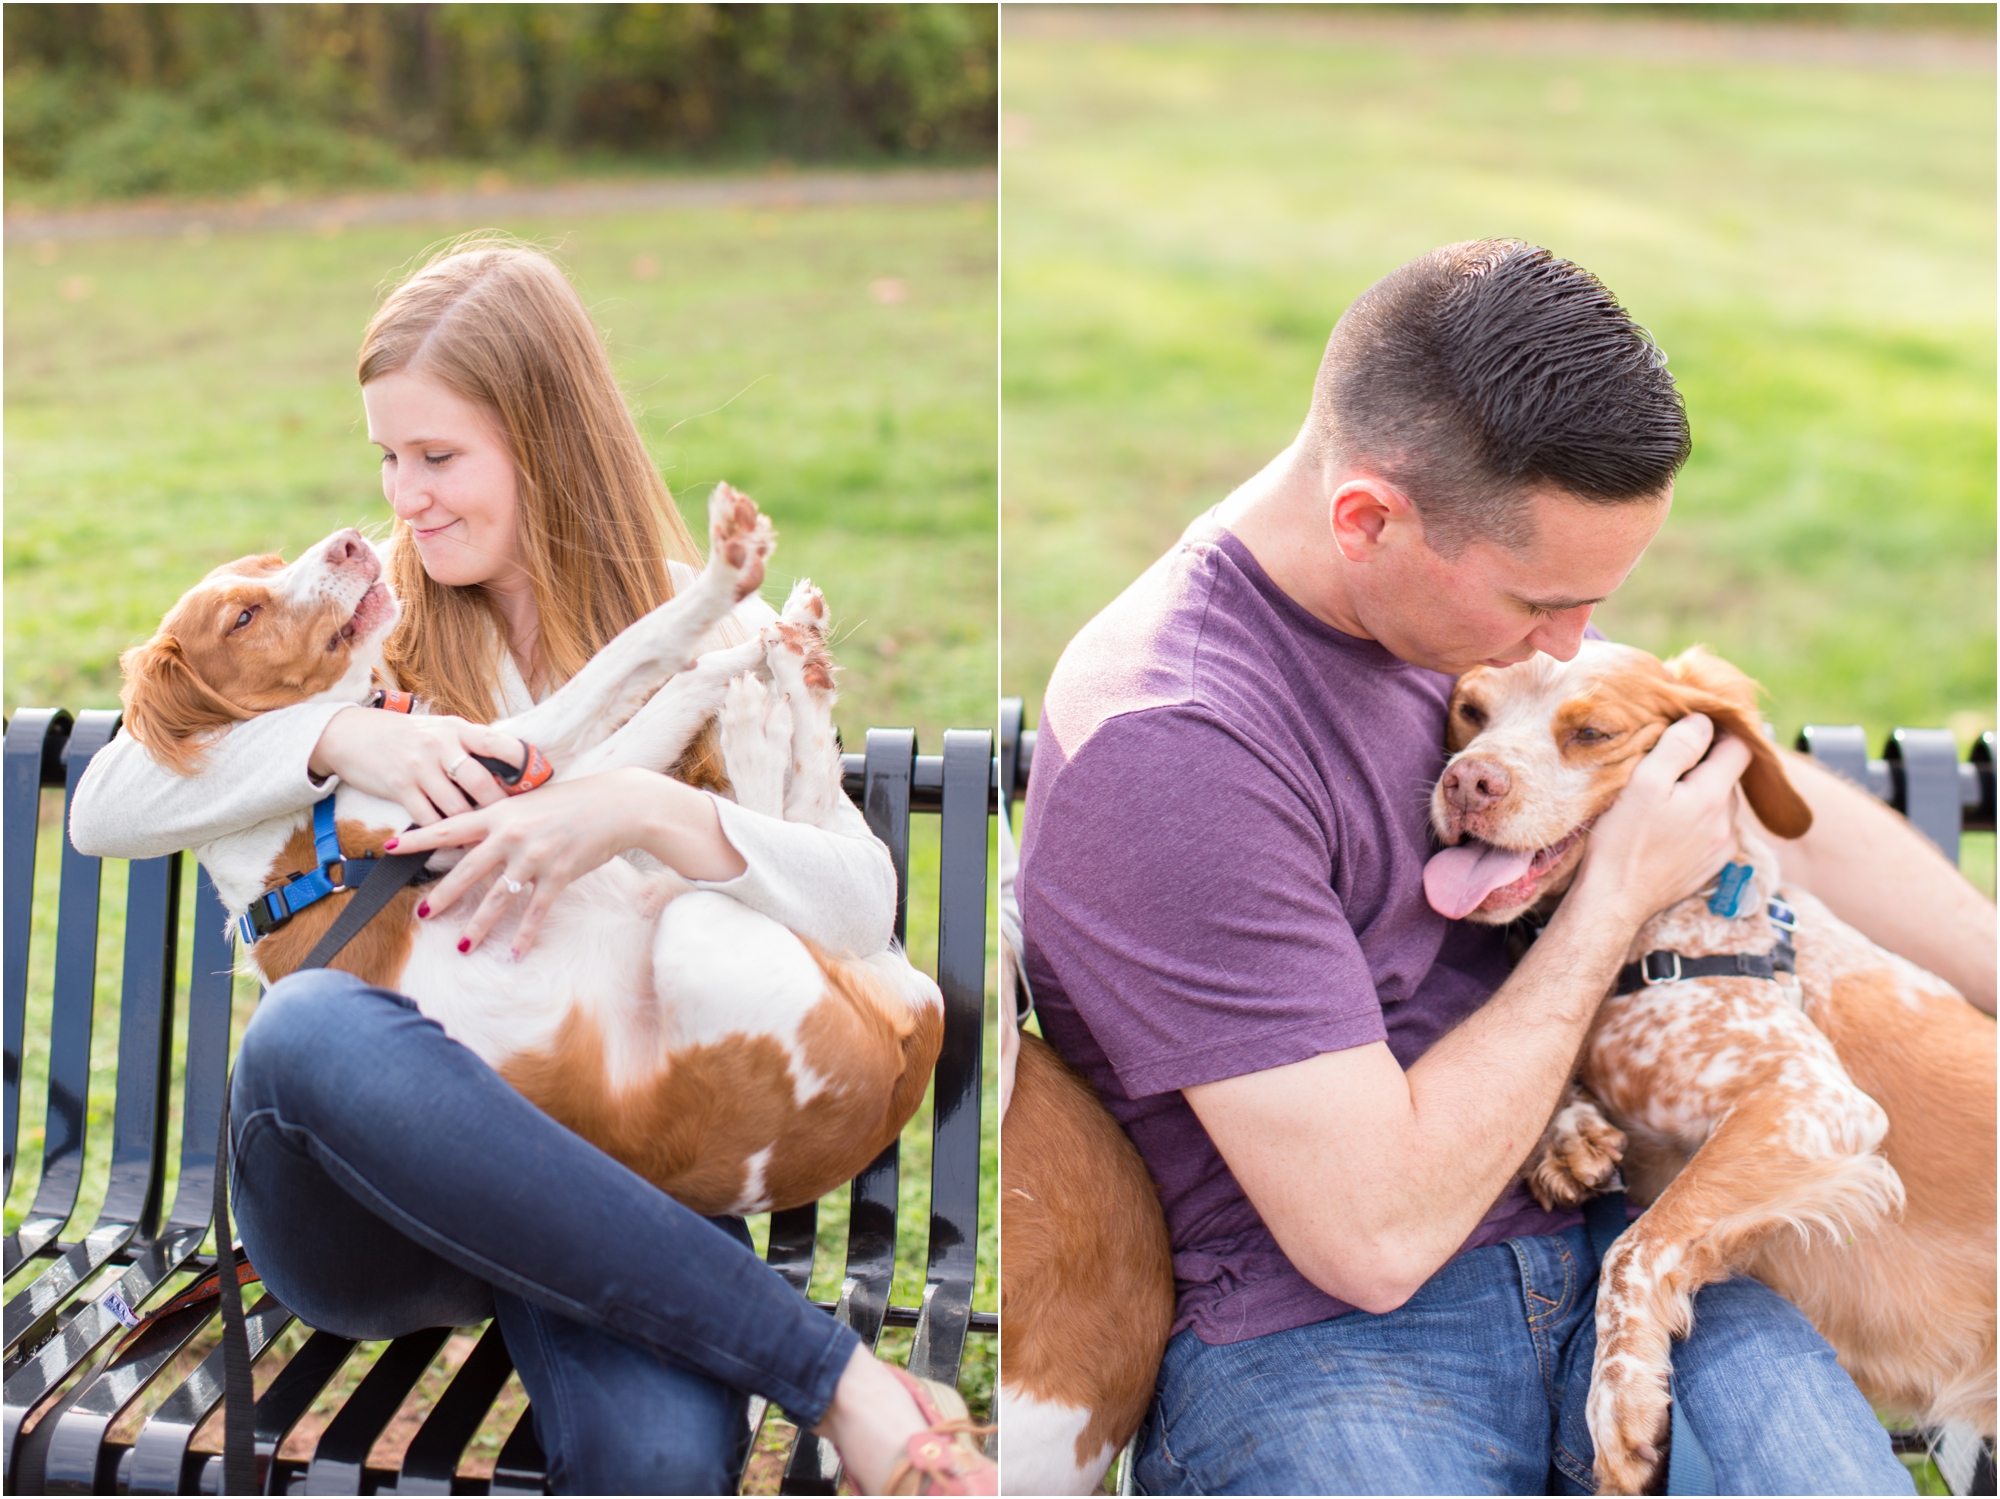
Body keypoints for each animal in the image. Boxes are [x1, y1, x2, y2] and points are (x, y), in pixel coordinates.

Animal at [121, 489, 948, 1223]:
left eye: (269, 563)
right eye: (244, 616)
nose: (350, 544)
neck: (300, 833)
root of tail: (910, 1047)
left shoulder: (516, 770)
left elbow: (651, 694)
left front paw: (755, 637)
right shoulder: (507, 768)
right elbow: (639, 657)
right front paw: (726, 586)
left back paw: (789, 664)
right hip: (704, 929)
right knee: (778, 816)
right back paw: (759, 721)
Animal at [1432, 639, 1992, 1495]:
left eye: (1592, 732)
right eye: (1471, 710)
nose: (1468, 781)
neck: (1662, 939)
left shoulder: (1813, 1099)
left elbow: (1634, 1246)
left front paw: (1620, 1395)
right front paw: (1569, 1135)